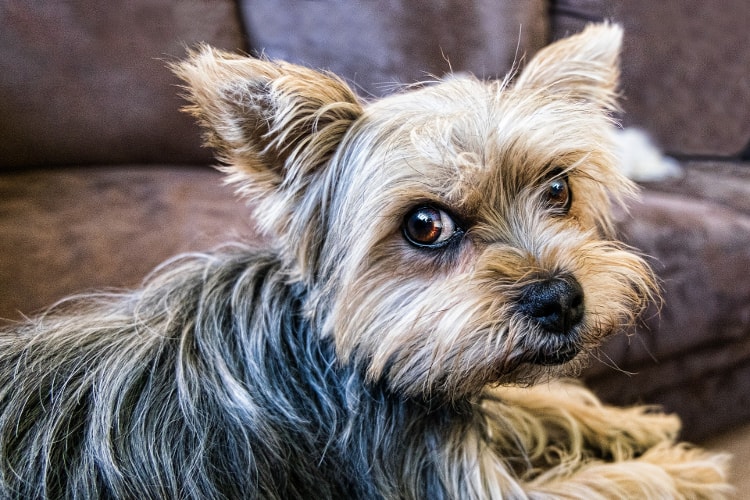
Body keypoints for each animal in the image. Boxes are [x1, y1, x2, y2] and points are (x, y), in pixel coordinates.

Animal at [0, 24, 728, 500]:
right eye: (425, 225)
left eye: (558, 190)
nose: (562, 300)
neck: (341, 352)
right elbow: (614, 483)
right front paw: (688, 468)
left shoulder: (440, 383)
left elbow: (545, 400)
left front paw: (632, 421)